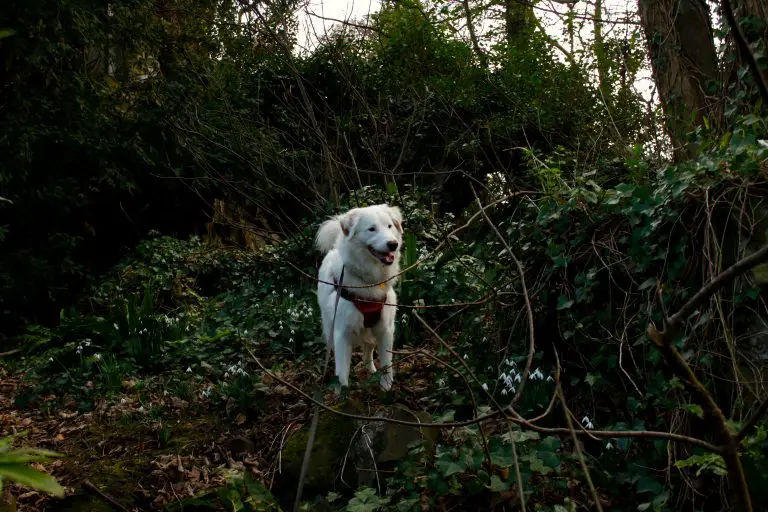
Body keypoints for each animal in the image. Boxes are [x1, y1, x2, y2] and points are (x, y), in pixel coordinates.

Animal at [316, 202, 404, 390]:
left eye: (389, 226)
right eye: (371, 229)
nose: (393, 244)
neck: (368, 281)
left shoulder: (385, 329)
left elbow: (386, 362)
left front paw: (386, 386)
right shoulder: (341, 334)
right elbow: (342, 373)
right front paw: (342, 393)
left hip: (370, 334)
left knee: (367, 353)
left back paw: (371, 369)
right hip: (330, 329)